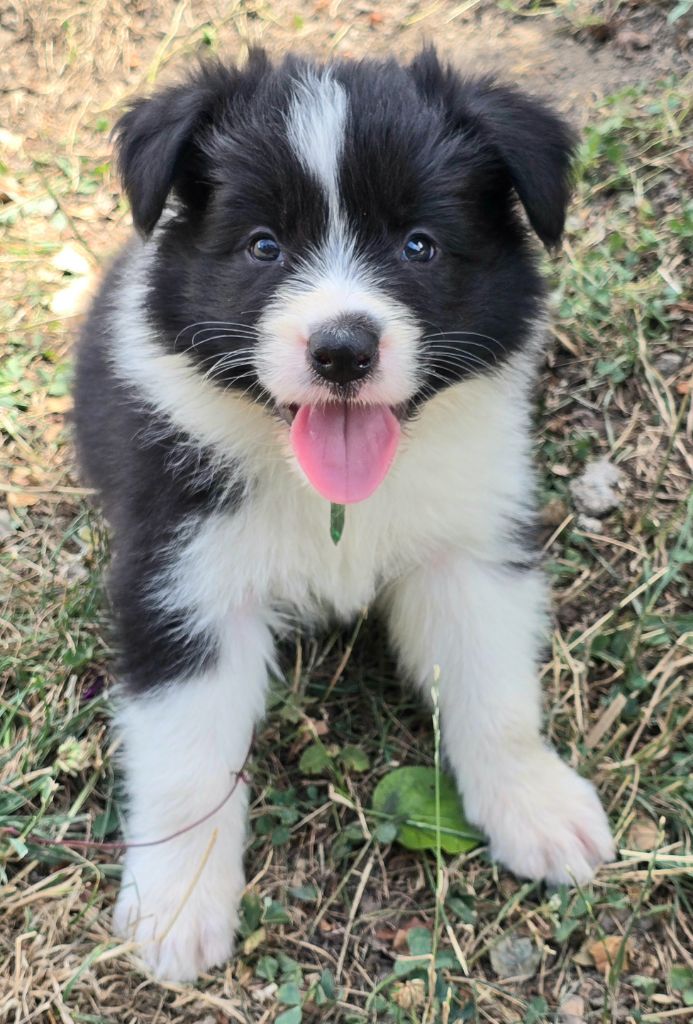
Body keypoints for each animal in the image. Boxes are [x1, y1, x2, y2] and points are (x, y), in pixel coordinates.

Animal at [74, 47, 615, 982]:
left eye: (418, 245)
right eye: (263, 245)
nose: (341, 349)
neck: (330, 495)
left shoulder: (467, 546)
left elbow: (493, 688)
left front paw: (534, 803)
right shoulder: (181, 575)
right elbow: (186, 756)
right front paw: (178, 903)